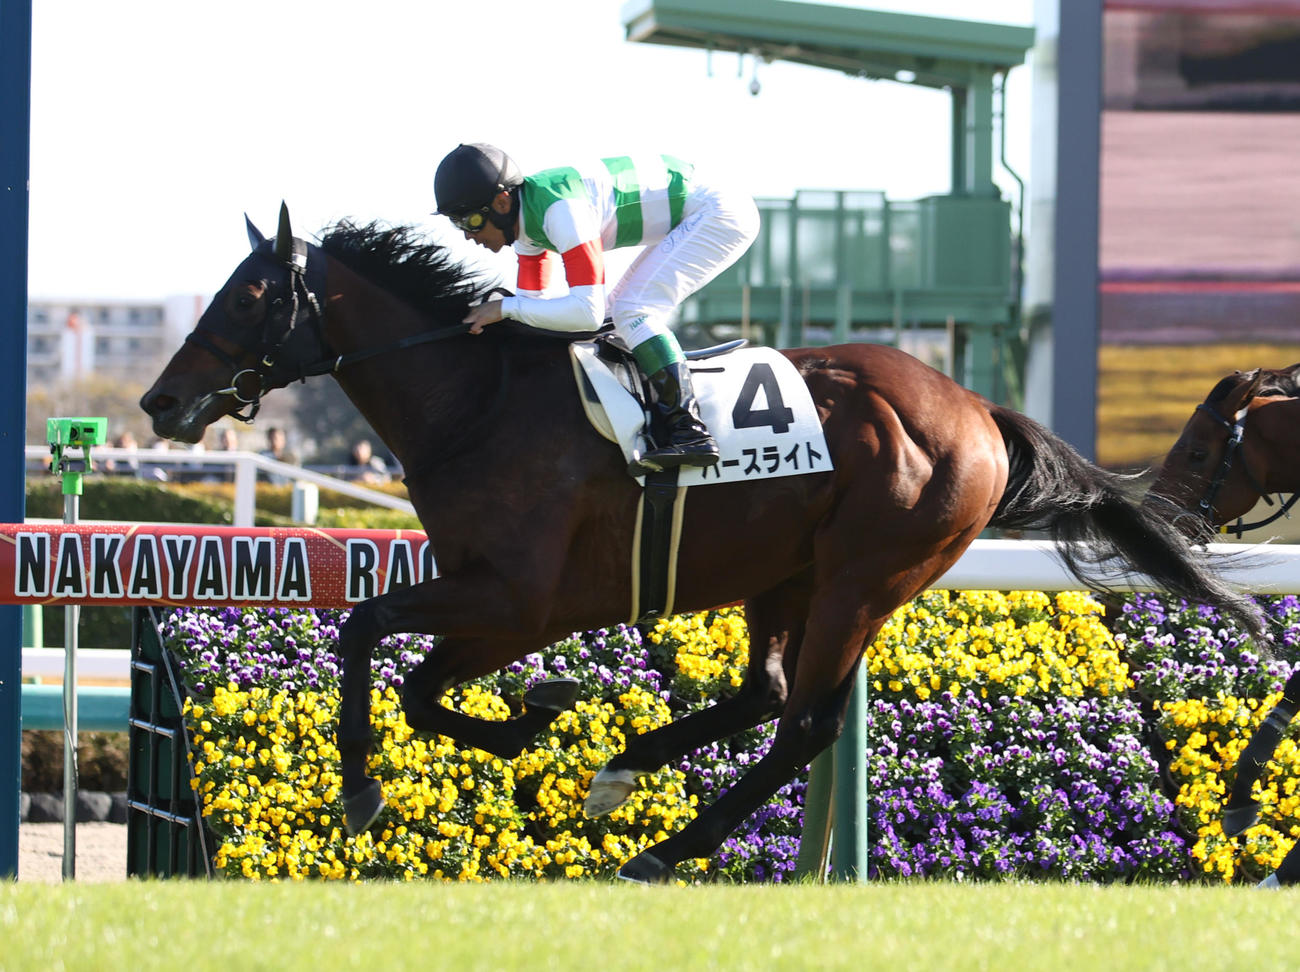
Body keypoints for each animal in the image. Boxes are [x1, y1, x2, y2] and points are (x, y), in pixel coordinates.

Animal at [140, 205, 1262, 884]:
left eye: (249, 294)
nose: (160, 401)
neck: (476, 401)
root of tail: (977, 409)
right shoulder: (494, 596)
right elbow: (406, 672)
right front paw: (540, 714)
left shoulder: (520, 598)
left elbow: (372, 638)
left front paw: (382, 780)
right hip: (790, 574)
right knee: (766, 694)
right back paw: (628, 769)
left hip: (866, 573)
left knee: (804, 722)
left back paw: (670, 839)